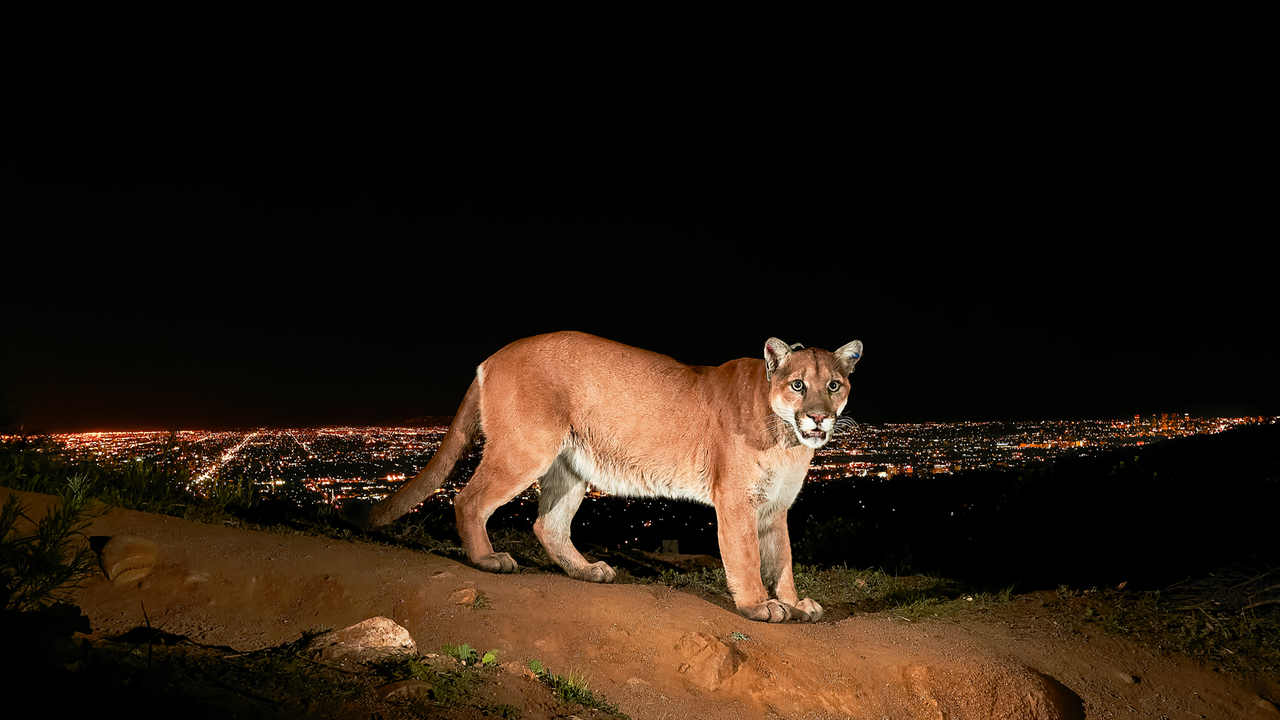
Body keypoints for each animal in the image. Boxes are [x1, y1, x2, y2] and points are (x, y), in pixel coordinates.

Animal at [345, 330, 865, 617]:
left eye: (833, 385)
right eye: (797, 385)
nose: (819, 418)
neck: (787, 441)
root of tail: (491, 357)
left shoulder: (774, 507)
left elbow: (783, 559)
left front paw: (794, 603)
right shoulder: (738, 499)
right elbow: (747, 557)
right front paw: (759, 606)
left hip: (572, 466)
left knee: (547, 524)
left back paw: (586, 570)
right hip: (526, 449)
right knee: (468, 499)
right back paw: (488, 559)